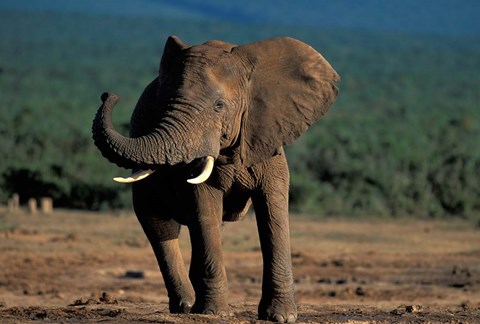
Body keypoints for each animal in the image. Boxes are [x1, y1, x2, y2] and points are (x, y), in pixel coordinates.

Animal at [92, 34, 340, 322]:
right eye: (163, 105)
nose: (107, 94)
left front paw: (281, 317)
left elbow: (273, 206)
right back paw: (186, 306)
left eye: (219, 106)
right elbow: (203, 202)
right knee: (159, 224)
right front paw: (213, 313)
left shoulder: (267, 135)